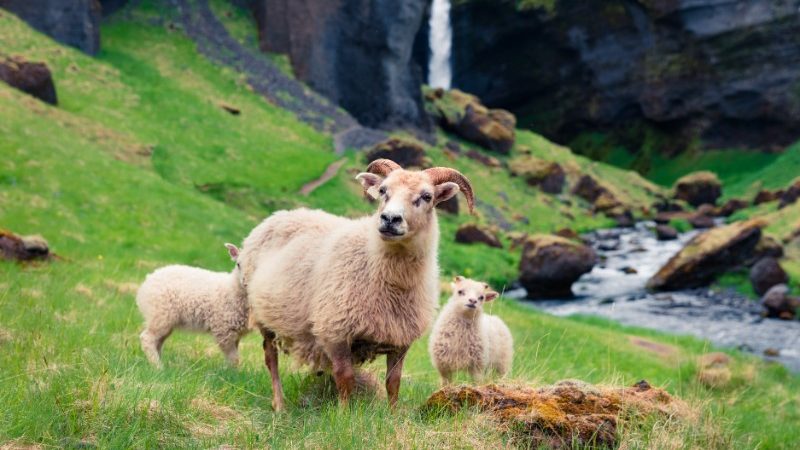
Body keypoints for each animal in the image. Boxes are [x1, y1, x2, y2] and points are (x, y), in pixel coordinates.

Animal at [236, 159, 475, 410]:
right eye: (383, 191)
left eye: (427, 196)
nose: (390, 219)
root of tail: (278, 215)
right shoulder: (335, 331)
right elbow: (345, 378)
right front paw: (343, 413)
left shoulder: (400, 339)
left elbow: (393, 382)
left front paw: (392, 414)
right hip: (262, 315)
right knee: (270, 358)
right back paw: (279, 404)